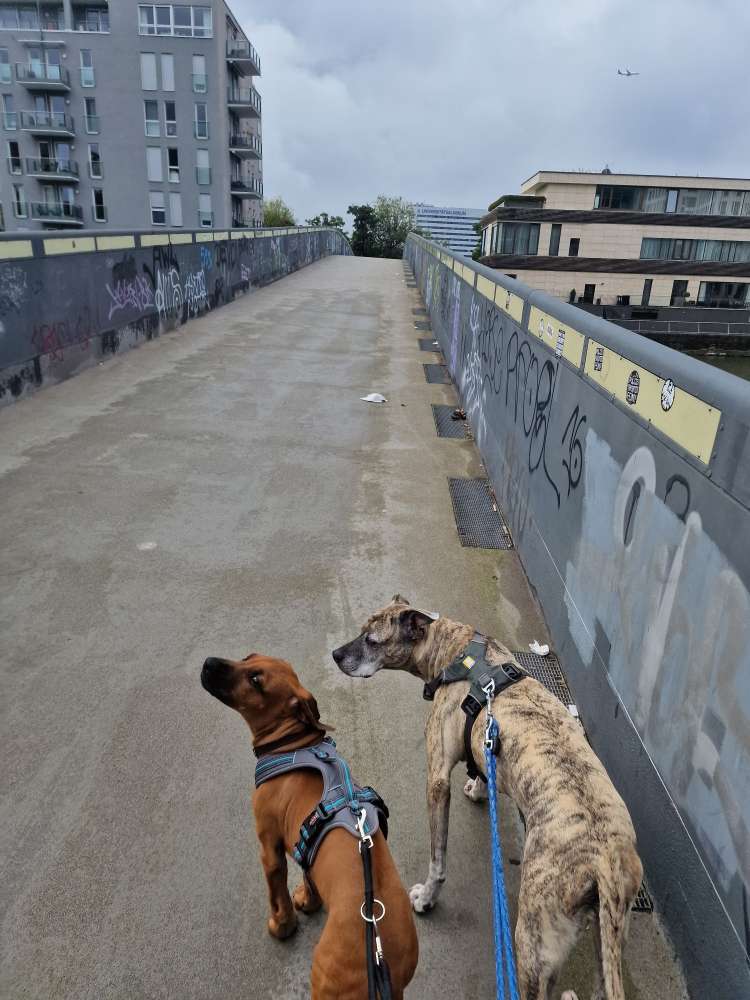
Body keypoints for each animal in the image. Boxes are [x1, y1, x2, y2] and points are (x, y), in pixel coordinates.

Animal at [203, 652, 420, 1000]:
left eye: (255, 680)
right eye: (248, 657)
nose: (208, 662)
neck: (293, 744)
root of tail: (386, 965)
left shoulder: (269, 848)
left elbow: (276, 892)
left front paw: (282, 925)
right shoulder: (307, 836)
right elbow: (308, 872)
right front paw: (309, 900)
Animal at [332, 596, 644, 996]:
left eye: (372, 640)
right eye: (361, 631)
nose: (336, 655)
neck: (455, 649)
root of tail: (605, 859)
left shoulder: (436, 780)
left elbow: (438, 859)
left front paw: (427, 898)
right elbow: (481, 767)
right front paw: (480, 788)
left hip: (534, 942)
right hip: (609, 937)